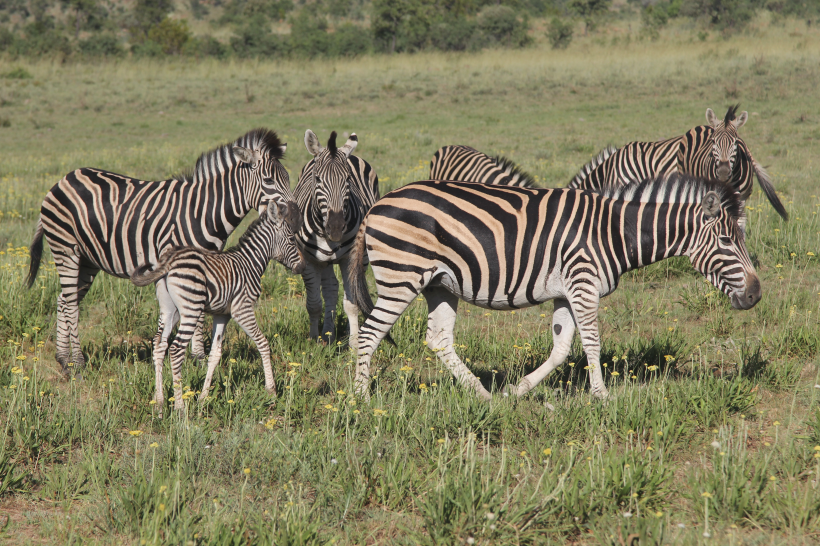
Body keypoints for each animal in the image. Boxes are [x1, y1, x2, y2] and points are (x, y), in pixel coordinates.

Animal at [28, 127, 302, 374]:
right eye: (269, 181)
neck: (203, 211)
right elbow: (195, 315)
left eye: (289, 179)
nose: (296, 217)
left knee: (64, 299)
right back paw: (78, 362)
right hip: (66, 248)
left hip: (88, 259)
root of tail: (64, 179)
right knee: (70, 302)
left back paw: (63, 359)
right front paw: (198, 359)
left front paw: (189, 356)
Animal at [131, 191, 304, 412]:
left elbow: (215, 354)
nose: (302, 267)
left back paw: (160, 403)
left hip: (170, 310)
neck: (251, 262)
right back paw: (180, 407)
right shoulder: (242, 309)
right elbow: (263, 342)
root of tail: (170, 260)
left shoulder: (223, 314)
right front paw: (271, 390)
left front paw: (203, 397)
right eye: (291, 239)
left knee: (160, 345)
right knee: (176, 349)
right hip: (192, 308)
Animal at [294, 130, 382, 346]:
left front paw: (354, 344)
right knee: (330, 289)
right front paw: (314, 340)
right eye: (317, 179)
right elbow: (314, 303)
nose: (335, 228)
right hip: (324, 261)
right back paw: (327, 334)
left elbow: (352, 304)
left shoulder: (350, 258)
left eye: (348, 179)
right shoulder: (309, 261)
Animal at [348, 174, 764, 400]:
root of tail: (376, 205)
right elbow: (592, 342)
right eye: (727, 240)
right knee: (369, 334)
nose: (755, 295)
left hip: (440, 284)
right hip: (402, 276)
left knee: (437, 338)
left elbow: (562, 348)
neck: (614, 232)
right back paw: (362, 401)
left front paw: (517, 390)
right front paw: (602, 396)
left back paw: (483, 395)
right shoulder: (582, 282)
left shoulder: (565, 293)